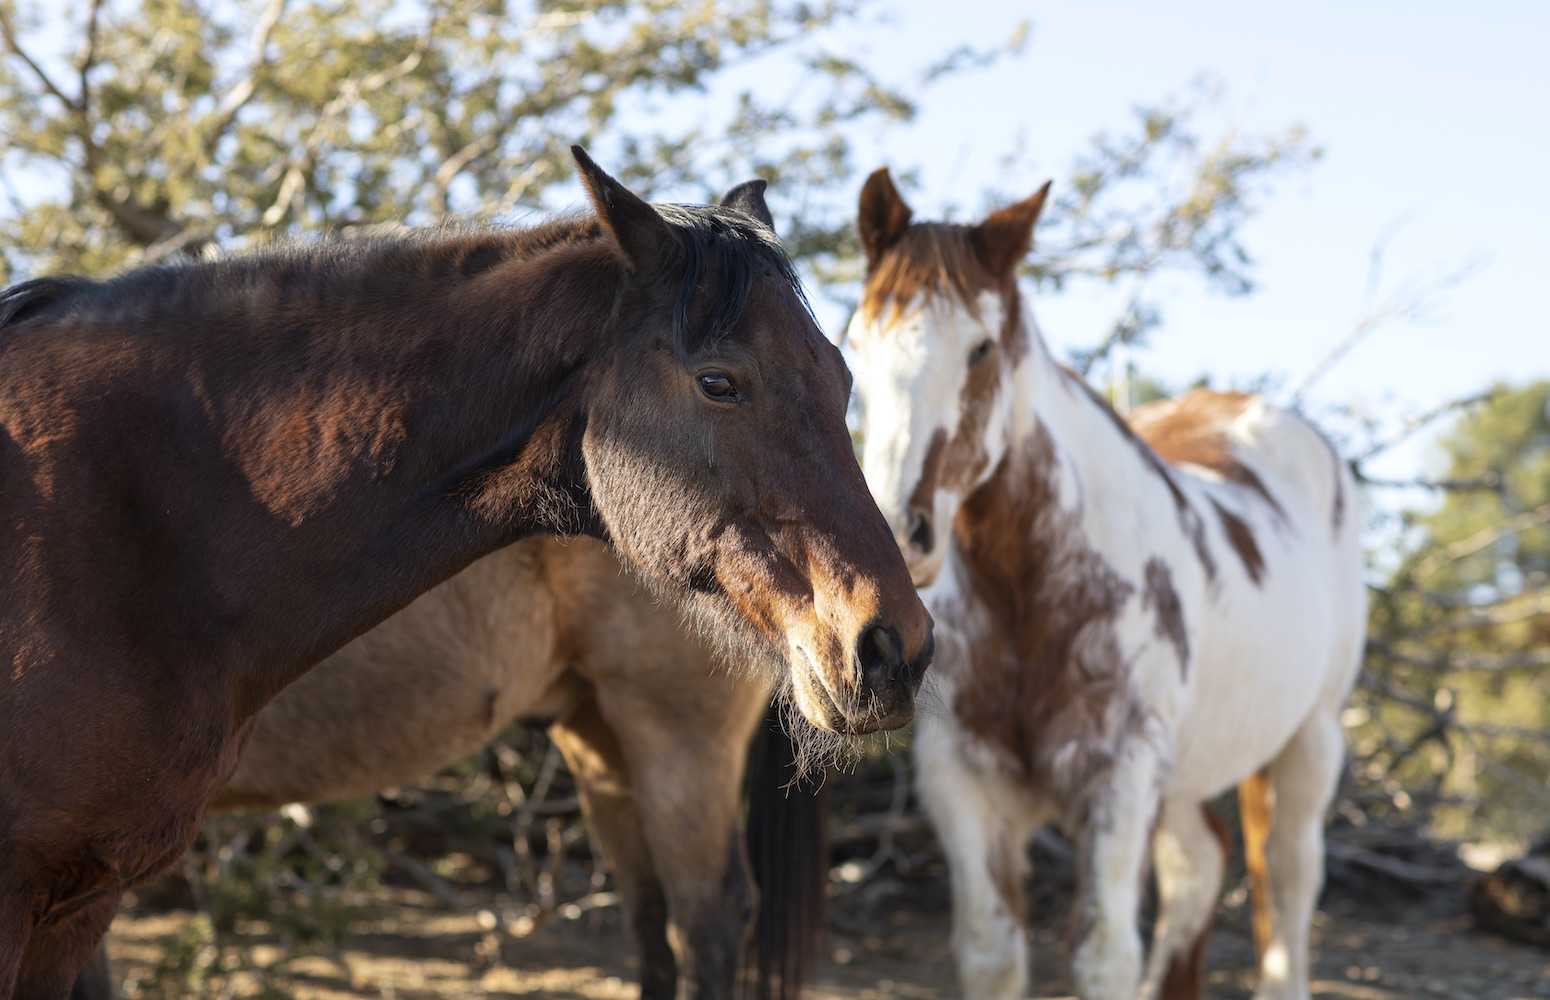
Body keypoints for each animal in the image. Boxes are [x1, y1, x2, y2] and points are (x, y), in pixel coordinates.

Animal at [0, 150, 930, 998]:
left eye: (843, 377)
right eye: (717, 382)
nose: (896, 647)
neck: (119, 515)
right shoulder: (68, 900)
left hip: (673, 737)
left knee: (703, 918)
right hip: (603, 739)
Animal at [849, 167, 1370, 992]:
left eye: (981, 348)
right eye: (857, 345)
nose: (901, 532)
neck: (1033, 592)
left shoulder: (1118, 784)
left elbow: (1101, 957)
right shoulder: (965, 786)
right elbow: (993, 953)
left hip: (1309, 742)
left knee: (1286, 889)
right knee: (1201, 865)